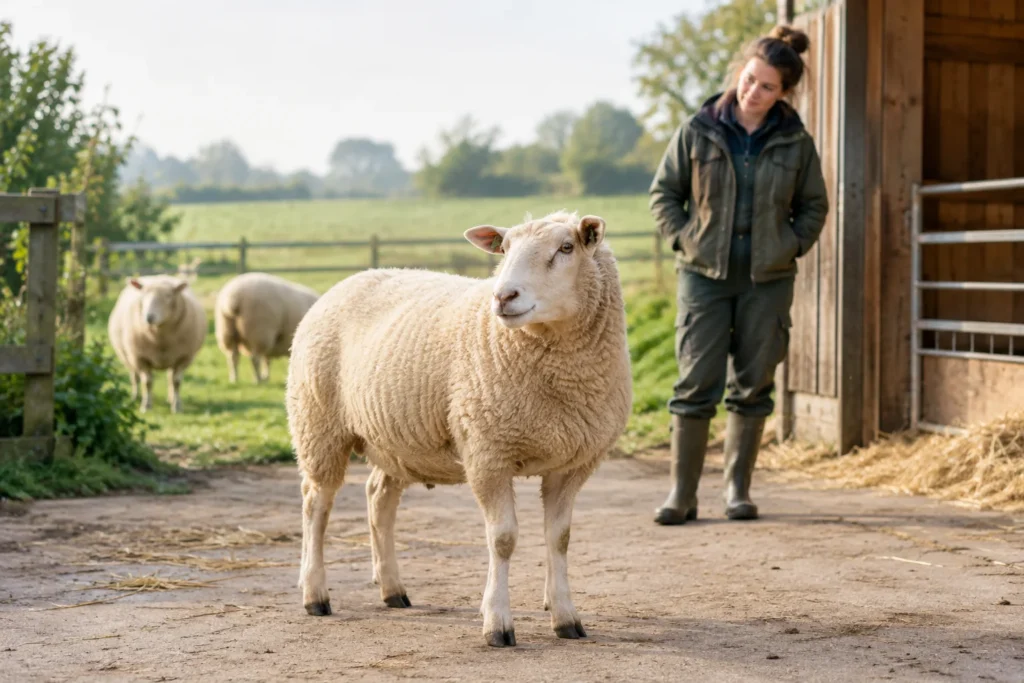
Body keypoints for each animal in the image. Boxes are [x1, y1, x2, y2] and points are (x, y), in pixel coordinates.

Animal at [107, 274, 207, 413]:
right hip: (126, 356)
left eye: (168, 296)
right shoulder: (140, 358)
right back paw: (134, 397)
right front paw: (146, 405)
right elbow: (147, 382)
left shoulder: (183, 358)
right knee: (134, 377)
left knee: (170, 378)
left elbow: (176, 382)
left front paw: (176, 406)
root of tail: (158, 277)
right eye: (143, 295)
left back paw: (171, 398)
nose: (149, 317)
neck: (160, 339)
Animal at [285, 210, 633, 647]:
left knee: (378, 499)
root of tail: (347, 280)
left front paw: (566, 617)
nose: (503, 297)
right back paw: (315, 594)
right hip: (319, 424)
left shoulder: (572, 464)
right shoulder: (488, 453)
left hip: (394, 438)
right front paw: (498, 623)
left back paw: (392, 589)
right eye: (504, 248)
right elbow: (503, 539)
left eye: (566, 248)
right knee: (316, 504)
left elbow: (560, 538)